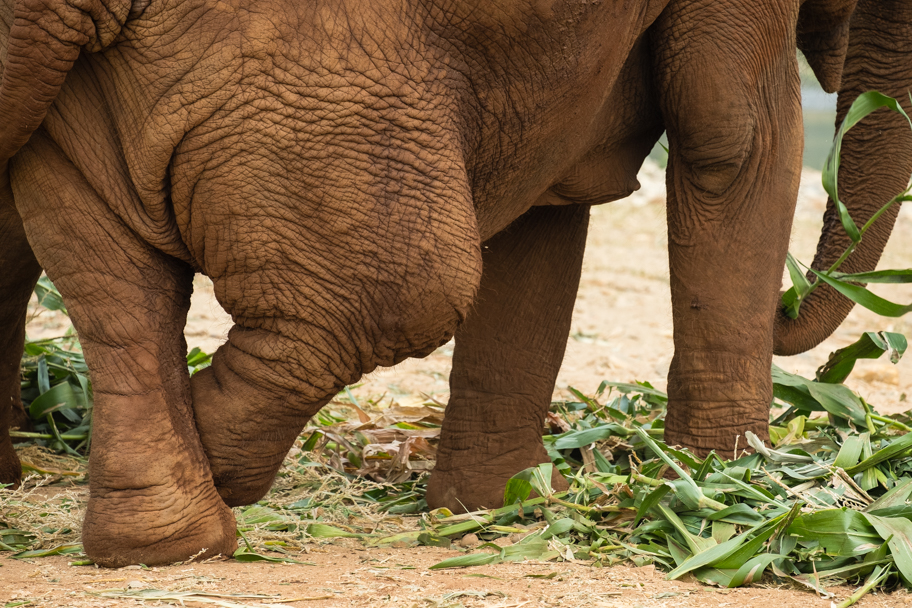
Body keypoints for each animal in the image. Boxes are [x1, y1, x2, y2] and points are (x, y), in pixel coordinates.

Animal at [0, 0, 856, 564]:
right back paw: (201, 485)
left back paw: (164, 535)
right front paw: (728, 490)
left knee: (105, 255)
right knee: (397, 293)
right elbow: (736, 136)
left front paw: (496, 508)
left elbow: (548, 205)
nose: (789, 305)